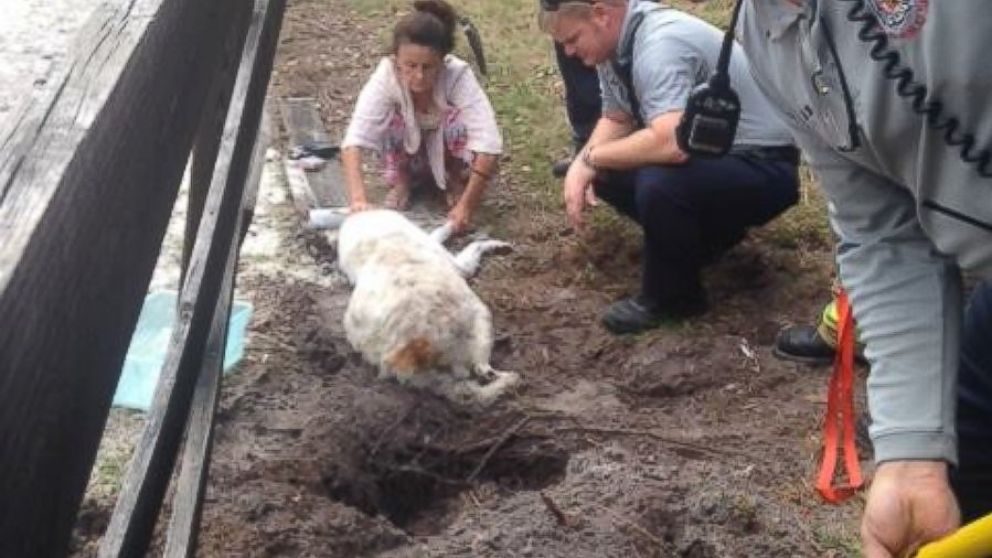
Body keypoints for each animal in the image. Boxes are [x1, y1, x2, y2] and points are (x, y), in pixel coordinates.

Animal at [336, 210, 520, 406]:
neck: (379, 242)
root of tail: (413, 350)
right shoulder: (460, 266)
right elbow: (470, 242)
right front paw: (489, 241)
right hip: (480, 316)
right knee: (482, 369)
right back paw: (507, 377)